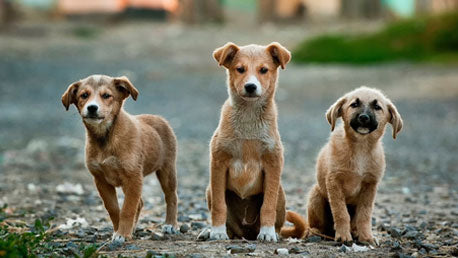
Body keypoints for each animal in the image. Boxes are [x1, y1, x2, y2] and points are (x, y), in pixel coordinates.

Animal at [62, 75, 179, 244]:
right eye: (84, 95)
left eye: (106, 95)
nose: (92, 108)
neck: (105, 138)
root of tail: (159, 118)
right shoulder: (101, 180)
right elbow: (114, 209)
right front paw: (120, 230)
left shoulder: (133, 177)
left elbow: (127, 209)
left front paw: (122, 233)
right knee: (140, 203)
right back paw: (134, 228)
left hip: (167, 169)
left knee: (171, 196)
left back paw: (171, 224)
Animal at [207, 42, 308, 242]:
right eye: (240, 69)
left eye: (263, 70)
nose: (250, 86)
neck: (249, 117)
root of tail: (246, 232)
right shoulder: (218, 162)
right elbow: (219, 205)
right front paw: (216, 231)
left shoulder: (273, 163)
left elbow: (267, 206)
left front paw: (267, 232)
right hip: (209, 189)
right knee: (230, 225)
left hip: (280, 193)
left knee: (277, 221)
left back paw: (272, 232)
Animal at [306, 86, 402, 244]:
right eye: (354, 104)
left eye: (377, 107)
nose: (364, 117)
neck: (360, 148)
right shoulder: (334, 181)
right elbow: (341, 212)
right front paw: (343, 236)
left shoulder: (370, 185)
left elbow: (365, 214)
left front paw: (366, 237)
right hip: (316, 195)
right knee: (317, 225)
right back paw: (315, 232)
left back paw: (356, 232)